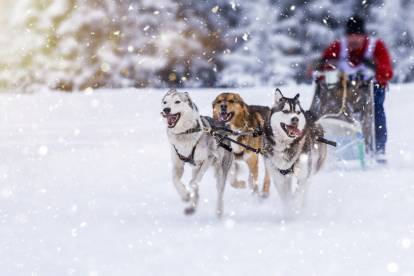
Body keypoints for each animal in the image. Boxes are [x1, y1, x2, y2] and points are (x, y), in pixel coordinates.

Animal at [161, 89, 233, 217]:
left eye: (177, 101)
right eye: (165, 102)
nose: (166, 110)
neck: (185, 133)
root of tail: (223, 125)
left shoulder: (208, 158)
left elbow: (193, 182)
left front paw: (189, 190)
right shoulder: (178, 165)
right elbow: (175, 181)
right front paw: (185, 195)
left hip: (220, 170)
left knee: (219, 191)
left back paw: (219, 211)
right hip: (196, 167)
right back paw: (191, 207)